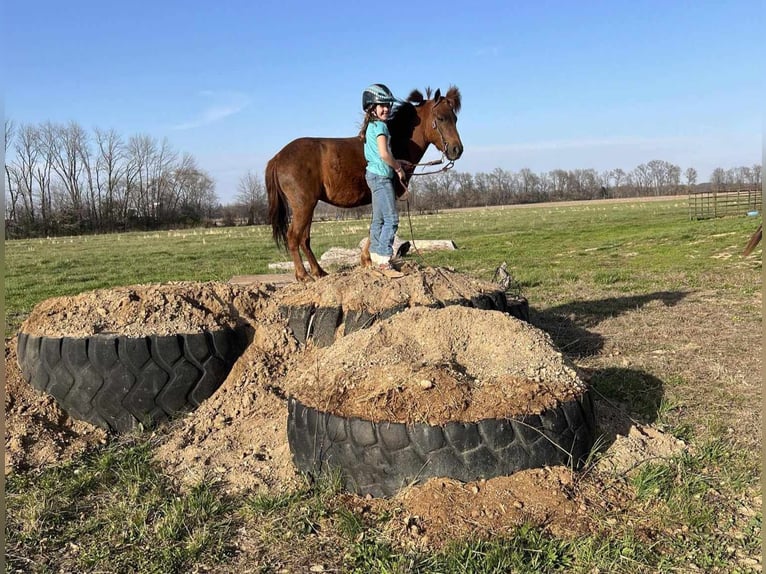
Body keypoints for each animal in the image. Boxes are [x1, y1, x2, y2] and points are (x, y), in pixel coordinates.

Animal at [268, 86, 464, 282]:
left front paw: (367, 260)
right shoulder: (387, 196)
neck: (396, 144)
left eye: (455, 118)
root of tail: (278, 157)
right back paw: (304, 275)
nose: (457, 150)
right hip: (303, 205)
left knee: (304, 239)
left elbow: (374, 226)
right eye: (441, 118)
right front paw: (369, 260)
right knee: (293, 237)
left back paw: (319, 272)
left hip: (308, 207)